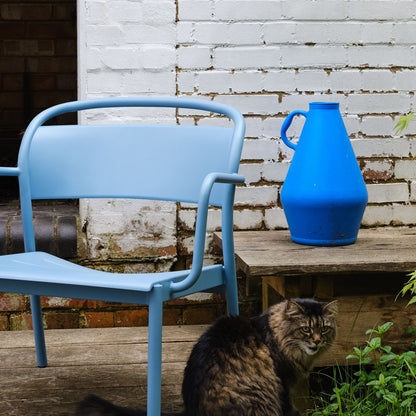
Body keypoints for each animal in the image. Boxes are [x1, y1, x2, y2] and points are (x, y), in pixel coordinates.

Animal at [76, 300, 338, 416]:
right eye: (306, 330)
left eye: (324, 329)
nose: (317, 342)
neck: (272, 334)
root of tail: (191, 412)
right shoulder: (282, 385)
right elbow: (289, 409)